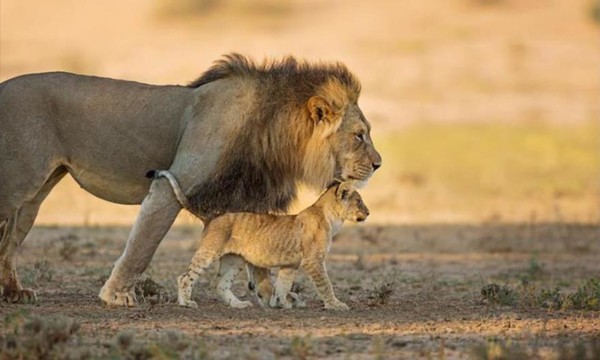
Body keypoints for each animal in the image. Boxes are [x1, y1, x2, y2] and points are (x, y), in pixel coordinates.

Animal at [0, 54, 382, 306]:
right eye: (359, 135)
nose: (379, 164)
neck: (275, 132)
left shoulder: (241, 198)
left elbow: (258, 252)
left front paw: (269, 295)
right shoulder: (171, 185)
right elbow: (143, 246)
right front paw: (116, 295)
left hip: (32, 198)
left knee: (8, 242)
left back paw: (14, 293)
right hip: (16, 183)